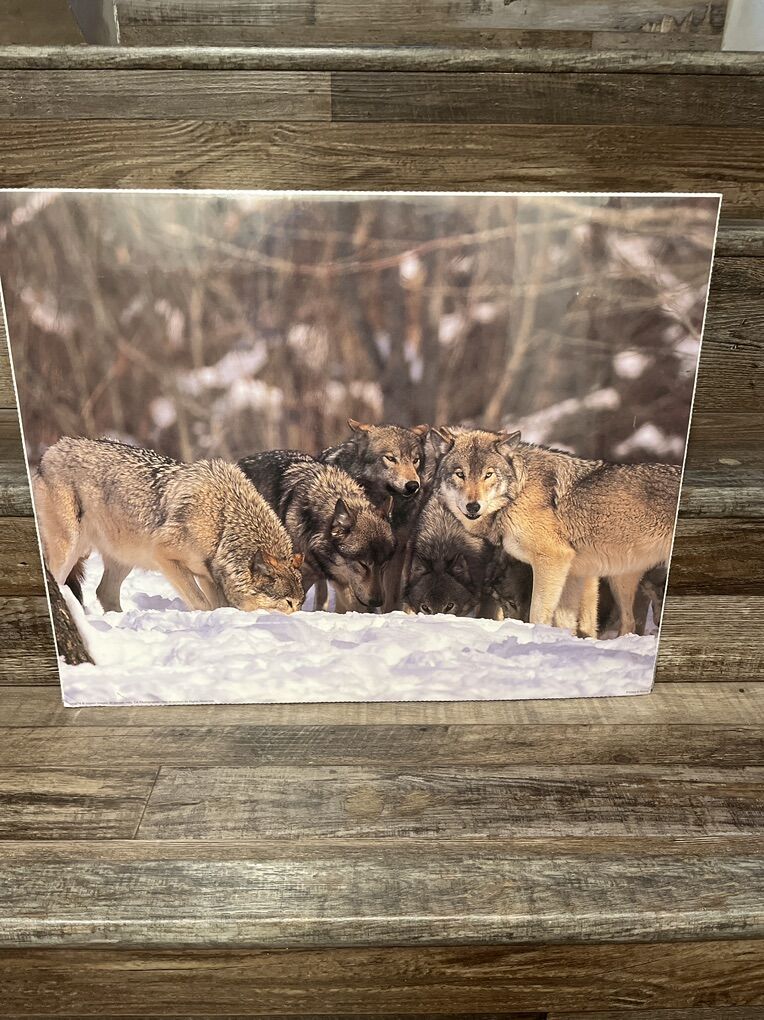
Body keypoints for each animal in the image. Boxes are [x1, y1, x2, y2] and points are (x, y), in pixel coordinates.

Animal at [34, 437, 304, 614]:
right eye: (288, 603)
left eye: (300, 603)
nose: (297, 619)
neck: (222, 522)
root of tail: (51, 450)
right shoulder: (164, 556)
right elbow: (202, 604)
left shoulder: (208, 576)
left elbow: (219, 605)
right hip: (69, 548)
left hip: (124, 557)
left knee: (104, 593)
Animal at [481, 434, 681, 637]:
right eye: (510, 603)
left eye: (489, 475)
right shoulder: (578, 571)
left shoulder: (557, 561)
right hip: (620, 580)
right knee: (629, 622)